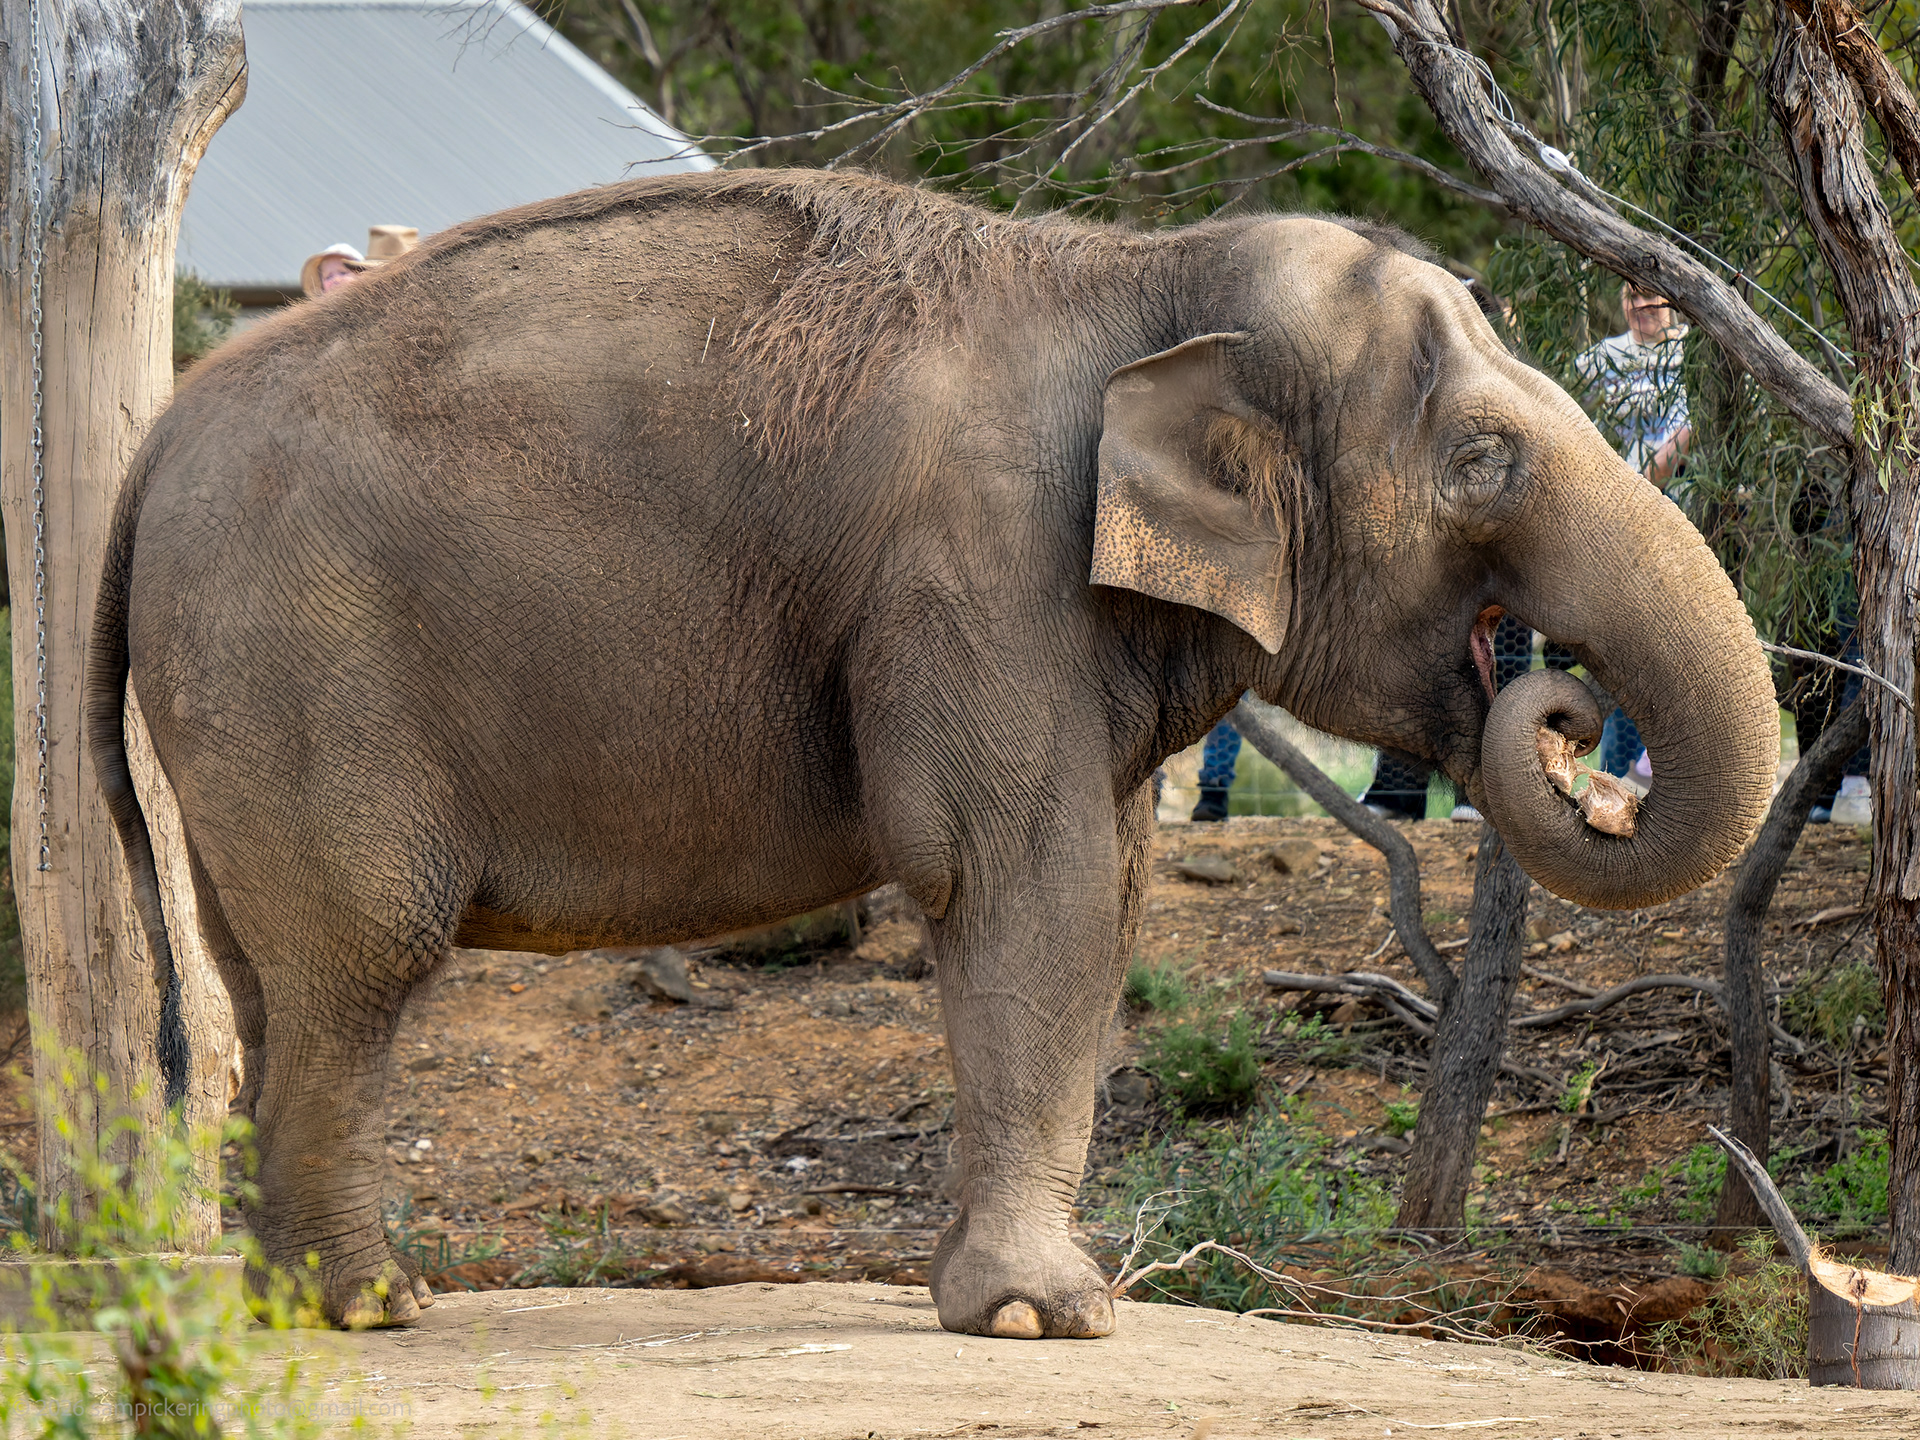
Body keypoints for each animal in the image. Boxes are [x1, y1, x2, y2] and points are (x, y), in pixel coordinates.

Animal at [88, 169, 1778, 1336]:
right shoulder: (977, 569)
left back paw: (291, 1304)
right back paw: (370, 1310)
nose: (1565, 721)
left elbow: (1109, 896)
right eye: (1484, 458)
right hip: (296, 660)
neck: (1143, 272)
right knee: (361, 962)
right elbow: (1019, 883)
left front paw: (1017, 1295)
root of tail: (153, 441)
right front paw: (1052, 1317)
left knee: (265, 981)